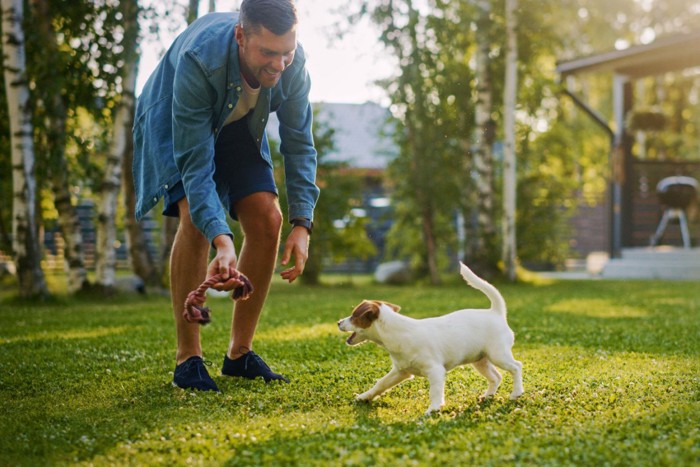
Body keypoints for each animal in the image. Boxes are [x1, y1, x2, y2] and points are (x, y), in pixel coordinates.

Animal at [336, 262, 524, 414]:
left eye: (354, 316)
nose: (338, 322)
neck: (398, 332)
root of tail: (496, 312)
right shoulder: (400, 371)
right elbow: (381, 384)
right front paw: (364, 397)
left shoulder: (435, 371)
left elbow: (434, 392)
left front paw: (433, 409)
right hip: (480, 360)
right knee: (496, 377)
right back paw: (488, 395)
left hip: (498, 355)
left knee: (516, 367)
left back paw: (516, 393)